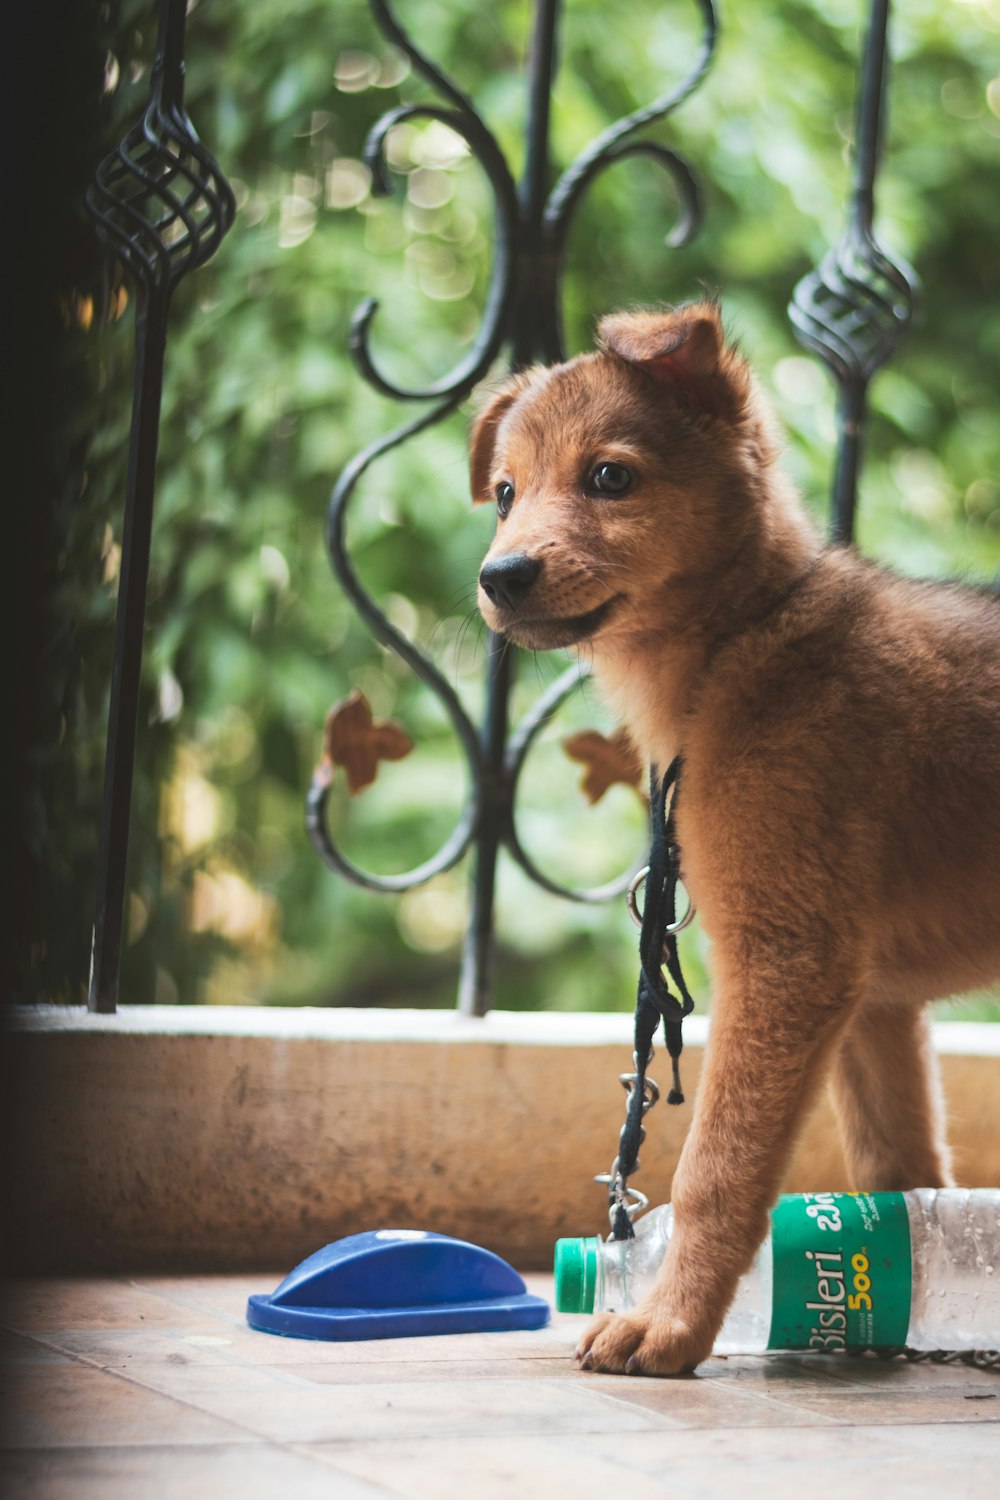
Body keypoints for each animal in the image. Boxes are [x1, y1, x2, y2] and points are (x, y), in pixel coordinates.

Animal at [476, 298, 1000, 1374]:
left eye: (609, 477)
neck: (747, 642)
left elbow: (716, 1165)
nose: (497, 575)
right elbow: (902, 1166)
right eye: (505, 493)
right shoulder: (873, 1001)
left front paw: (668, 1322)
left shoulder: (788, 959)